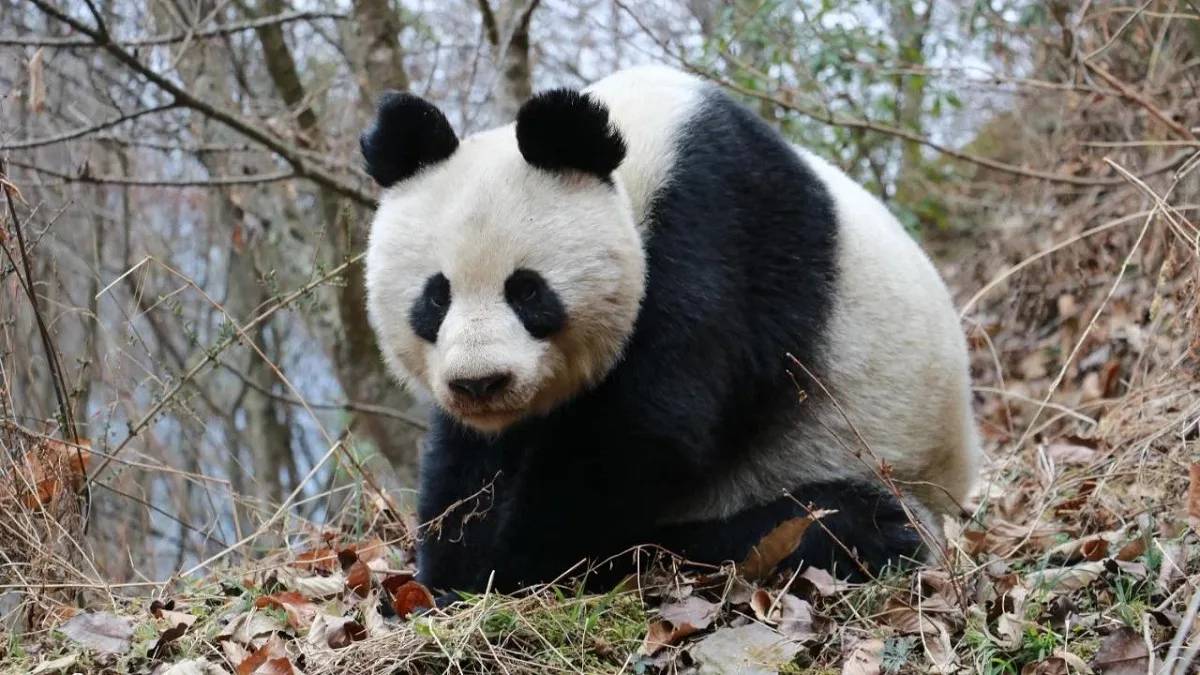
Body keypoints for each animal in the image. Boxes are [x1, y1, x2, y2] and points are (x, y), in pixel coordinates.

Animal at [359, 64, 981, 602]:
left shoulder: (716, 230)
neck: (643, 154)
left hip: (870, 458)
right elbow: (468, 462)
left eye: (528, 291)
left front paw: (513, 573)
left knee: (839, 524)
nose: (481, 384)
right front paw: (441, 579)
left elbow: (646, 431)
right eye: (436, 296)